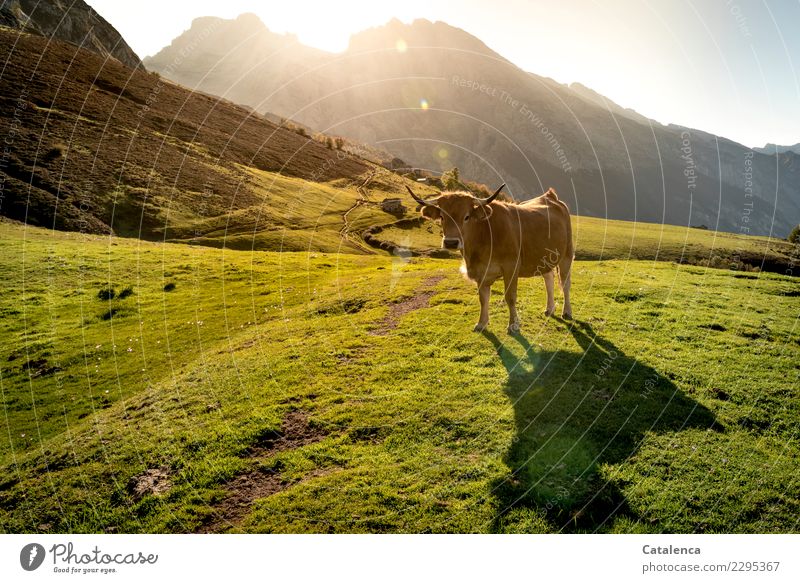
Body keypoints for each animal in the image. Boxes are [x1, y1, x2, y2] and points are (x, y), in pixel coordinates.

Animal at [406, 185, 576, 336]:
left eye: (466, 217)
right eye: (442, 217)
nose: (451, 242)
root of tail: (550, 196)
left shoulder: (511, 268)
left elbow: (510, 297)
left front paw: (513, 325)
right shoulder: (481, 273)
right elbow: (483, 299)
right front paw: (481, 323)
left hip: (567, 255)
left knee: (565, 284)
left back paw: (567, 312)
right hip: (545, 257)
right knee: (549, 279)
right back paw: (550, 309)